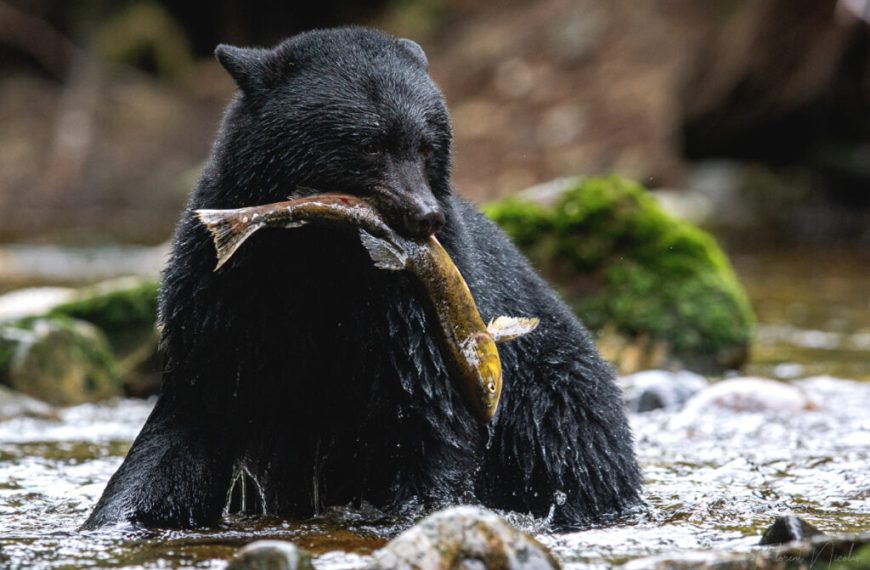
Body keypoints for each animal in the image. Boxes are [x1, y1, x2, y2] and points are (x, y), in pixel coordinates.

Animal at [84, 27, 642, 530]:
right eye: (367, 142)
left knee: (571, 455)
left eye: (426, 144)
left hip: (556, 409)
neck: (321, 254)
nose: (424, 216)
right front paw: (119, 517)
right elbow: (188, 427)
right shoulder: (224, 296)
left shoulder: (411, 312)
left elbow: (425, 416)